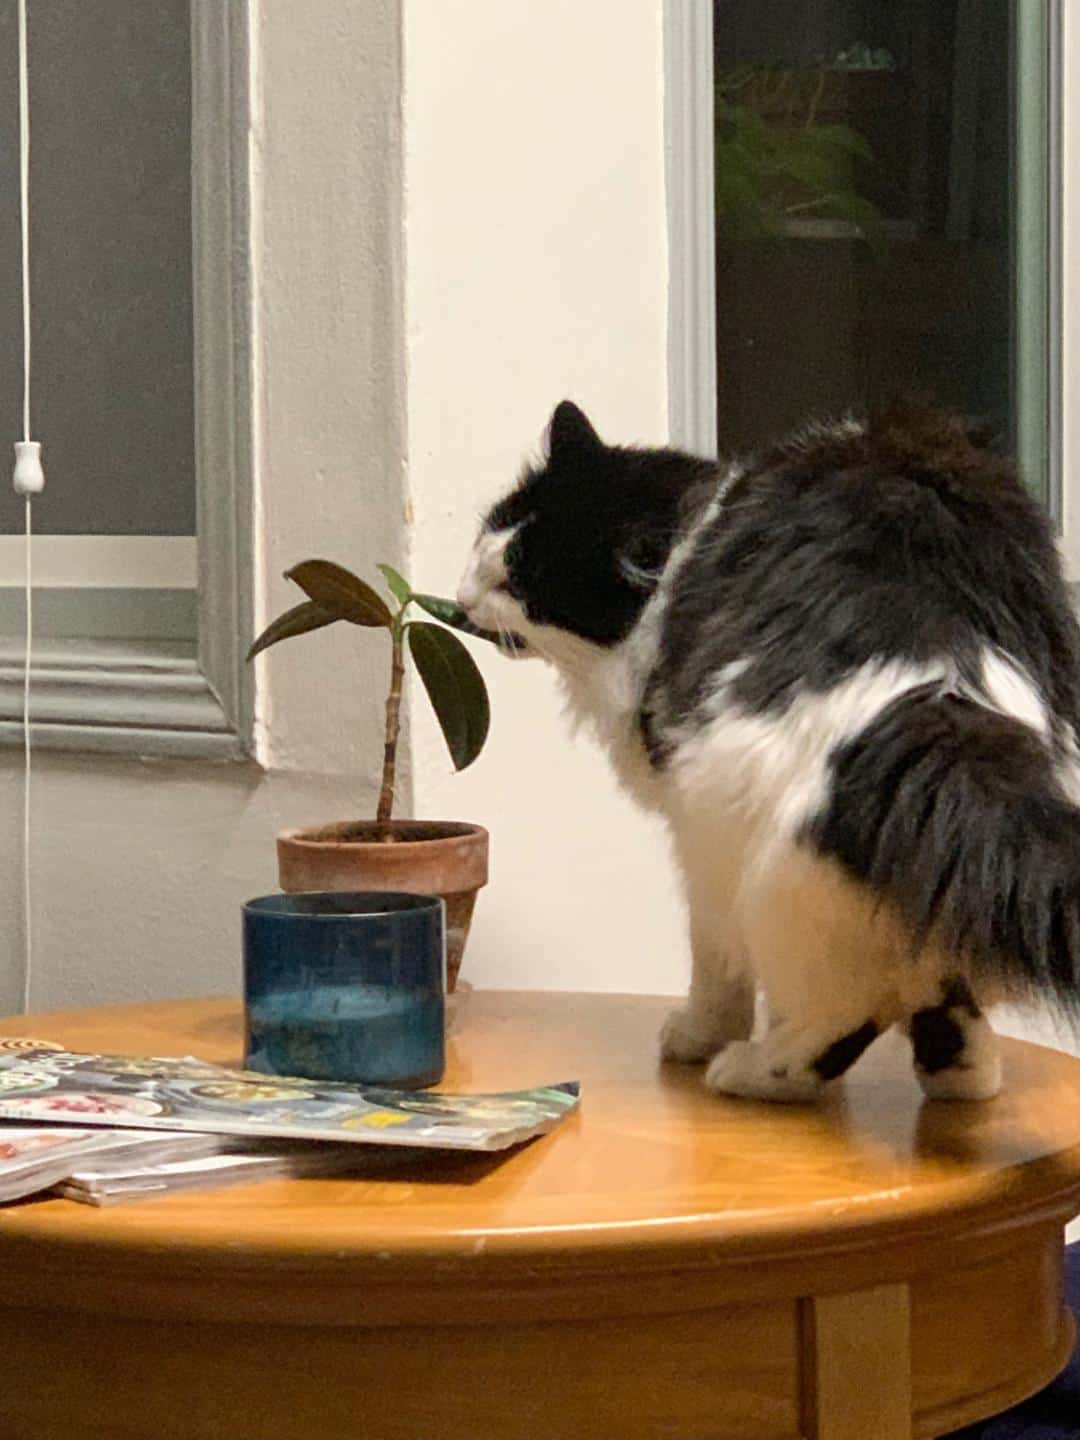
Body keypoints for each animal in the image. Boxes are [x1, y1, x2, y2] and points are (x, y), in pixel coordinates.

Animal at [460, 400, 1080, 1094]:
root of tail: (935, 680)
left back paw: (750, 1068)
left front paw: (697, 1037)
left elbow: (717, 968)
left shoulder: (690, 835)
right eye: (494, 528)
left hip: (742, 853)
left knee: (837, 1017)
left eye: (523, 577)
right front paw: (963, 1066)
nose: (463, 595)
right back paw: (957, 1074)